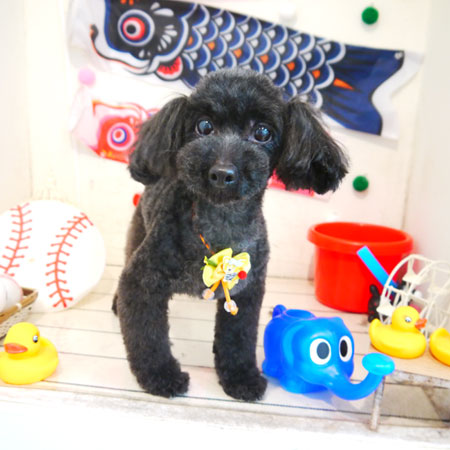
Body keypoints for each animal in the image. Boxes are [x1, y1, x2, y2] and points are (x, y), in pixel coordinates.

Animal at [113, 68, 348, 401]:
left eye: (262, 132)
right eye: (204, 126)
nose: (222, 172)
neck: (220, 226)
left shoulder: (246, 293)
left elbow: (238, 341)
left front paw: (241, 378)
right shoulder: (142, 282)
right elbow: (148, 338)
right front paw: (161, 376)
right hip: (138, 231)